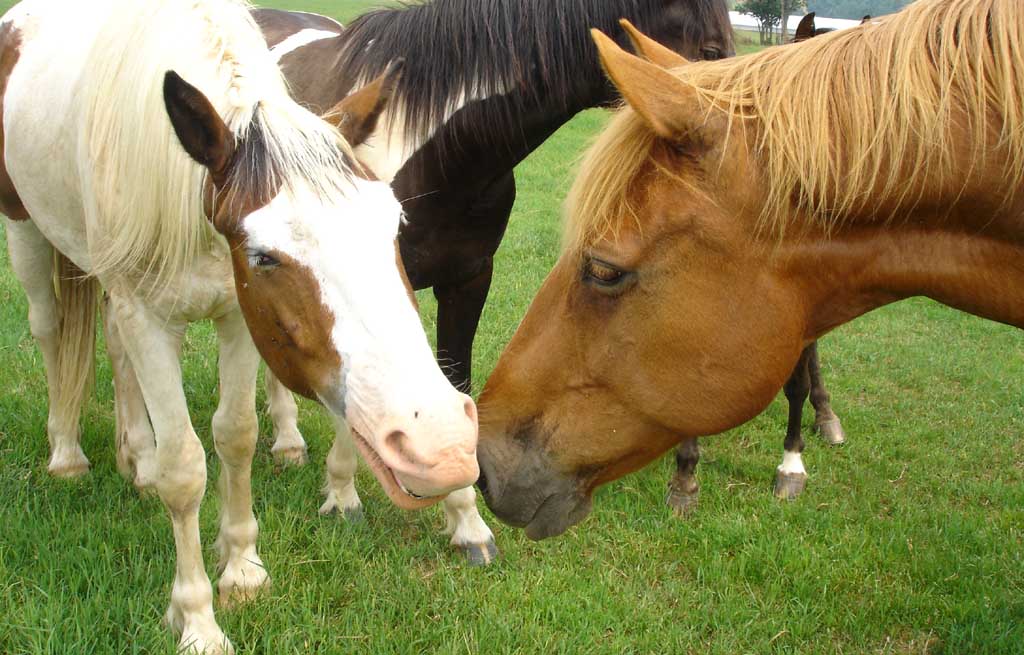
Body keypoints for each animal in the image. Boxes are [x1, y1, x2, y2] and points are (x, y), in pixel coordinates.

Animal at [0, 2, 479, 650]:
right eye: (264, 257)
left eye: (395, 223)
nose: (442, 445)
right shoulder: (150, 317)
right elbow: (184, 469)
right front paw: (198, 618)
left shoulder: (239, 317)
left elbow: (236, 436)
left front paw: (243, 569)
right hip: (26, 228)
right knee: (51, 331)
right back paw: (68, 455)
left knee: (114, 350)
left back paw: (136, 458)